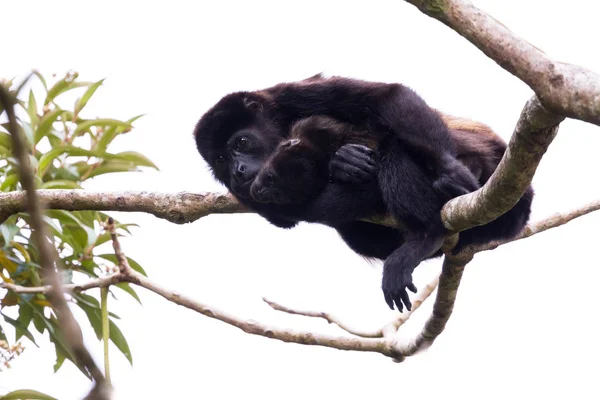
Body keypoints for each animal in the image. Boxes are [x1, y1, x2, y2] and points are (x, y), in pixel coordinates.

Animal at [193, 76, 536, 312]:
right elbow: (290, 216)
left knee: (396, 148)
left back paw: (427, 233)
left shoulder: (292, 95)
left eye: (241, 143)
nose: (238, 171)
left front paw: (451, 171)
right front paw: (341, 164)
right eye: (221, 160)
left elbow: (386, 96)